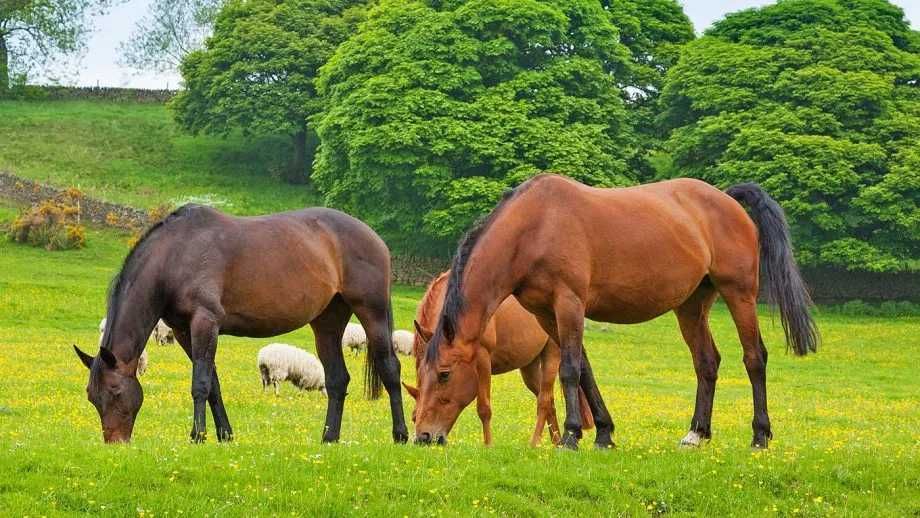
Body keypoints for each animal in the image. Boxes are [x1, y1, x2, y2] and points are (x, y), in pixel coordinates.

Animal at [77, 205, 408, 444]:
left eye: (116, 392)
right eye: (92, 397)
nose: (115, 442)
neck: (176, 255)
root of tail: (374, 237)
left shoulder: (205, 321)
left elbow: (200, 383)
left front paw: (197, 436)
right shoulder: (184, 331)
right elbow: (213, 385)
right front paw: (224, 435)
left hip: (373, 312)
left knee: (390, 369)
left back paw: (402, 435)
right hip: (327, 322)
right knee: (338, 379)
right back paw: (329, 438)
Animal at [406, 274, 592, 448]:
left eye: (444, 374)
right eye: (421, 375)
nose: (423, 437)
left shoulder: (483, 359)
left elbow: (484, 408)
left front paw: (488, 445)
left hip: (551, 356)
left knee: (544, 401)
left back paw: (535, 443)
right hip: (529, 368)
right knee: (549, 401)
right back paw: (556, 443)